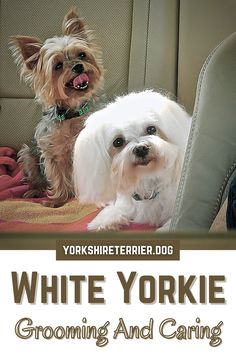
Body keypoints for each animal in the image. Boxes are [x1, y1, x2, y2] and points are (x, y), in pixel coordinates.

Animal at [9, 7, 104, 207]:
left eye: (82, 55)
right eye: (58, 65)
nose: (78, 66)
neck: (74, 112)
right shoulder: (52, 152)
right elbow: (59, 176)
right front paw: (59, 199)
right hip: (28, 154)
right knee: (36, 177)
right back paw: (35, 190)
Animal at [73, 90, 191, 231]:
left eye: (151, 129)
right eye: (118, 142)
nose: (140, 149)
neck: (147, 178)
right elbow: (118, 209)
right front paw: (102, 222)